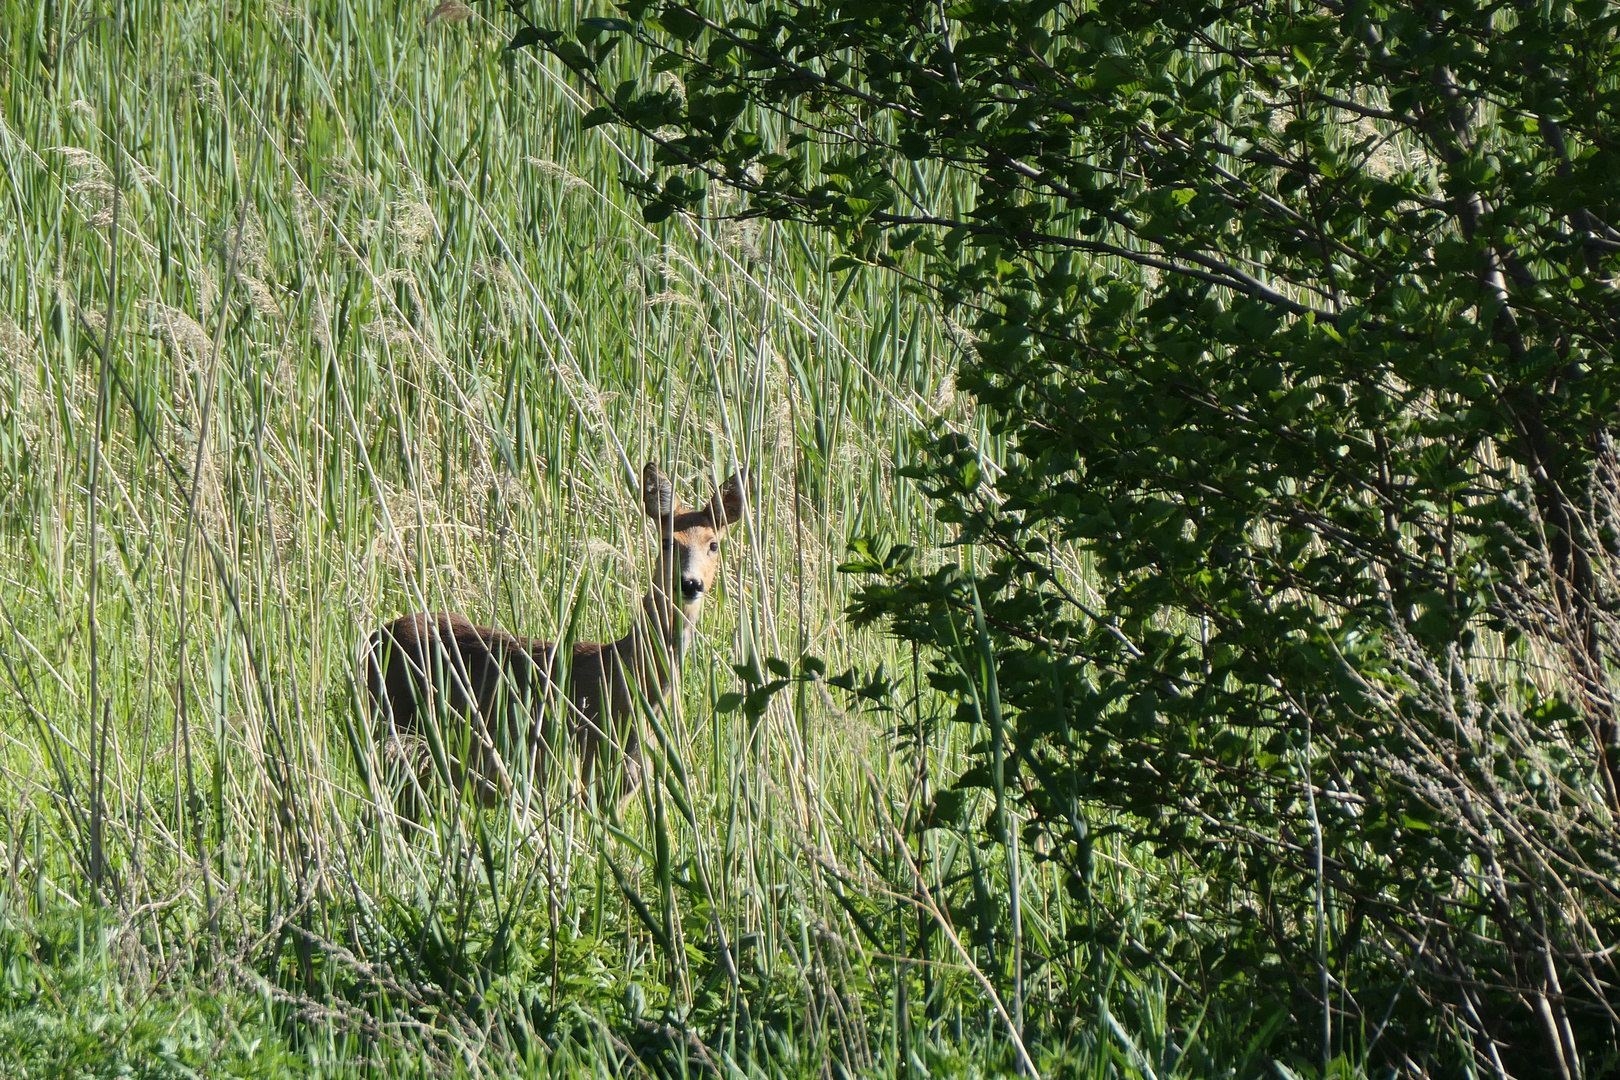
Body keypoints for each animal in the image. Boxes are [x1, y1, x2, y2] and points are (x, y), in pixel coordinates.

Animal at [366, 459, 745, 816]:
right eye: (667, 542)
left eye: (713, 544)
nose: (690, 583)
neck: (621, 679)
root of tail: (377, 634)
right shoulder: (574, 776)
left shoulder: (621, 788)